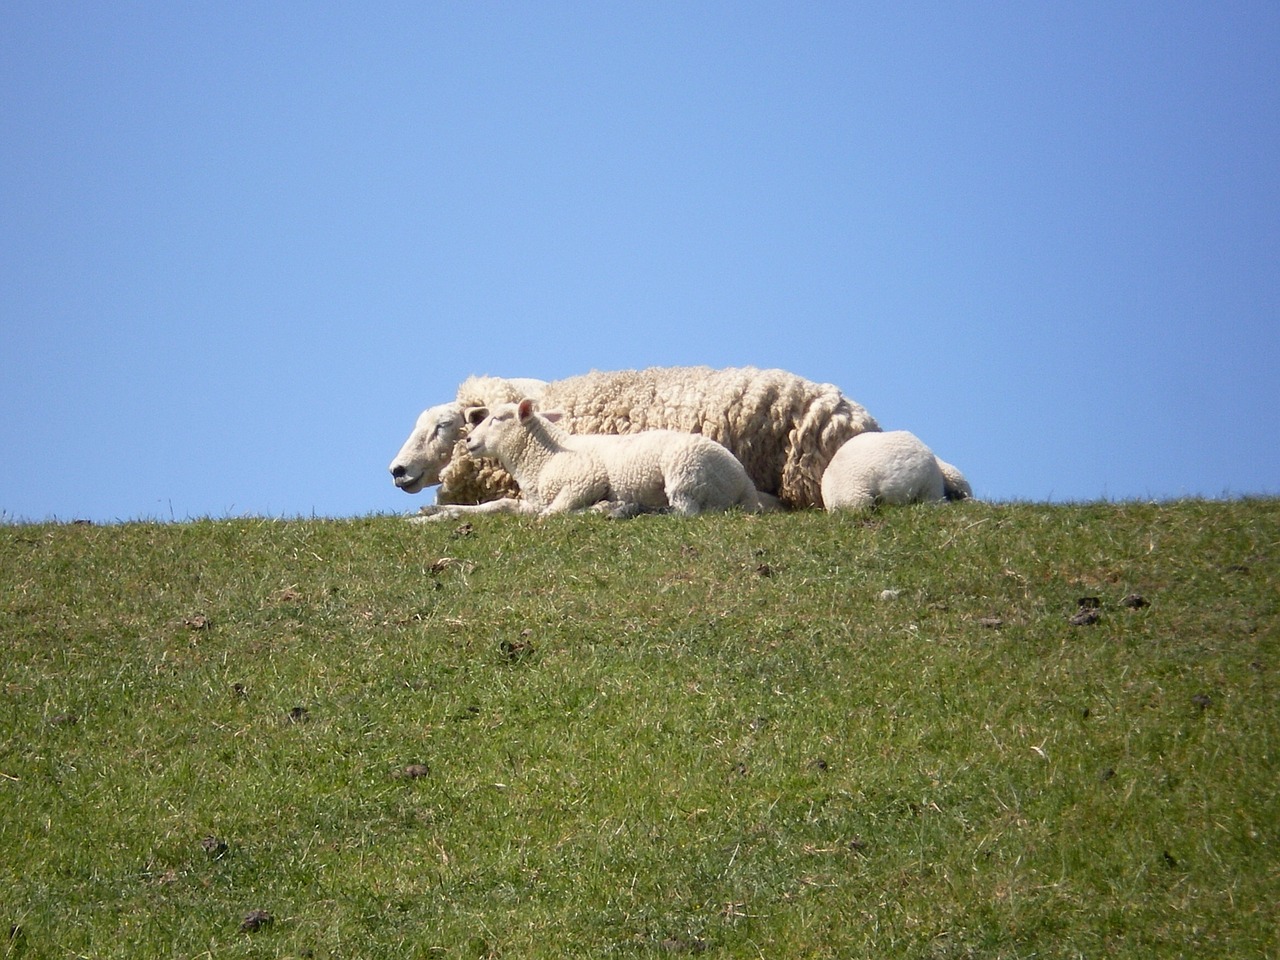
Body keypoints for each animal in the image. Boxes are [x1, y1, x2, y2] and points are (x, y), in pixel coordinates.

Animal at [414, 396, 762, 522]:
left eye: (498, 418)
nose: (469, 441)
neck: (543, 456)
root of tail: (745, 482)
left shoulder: (585, 479)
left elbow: (553, 515)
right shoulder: (532, 500)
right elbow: (495, 506)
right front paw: (438, 511)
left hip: (684, 472)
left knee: (684, 512)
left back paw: (627, 509)